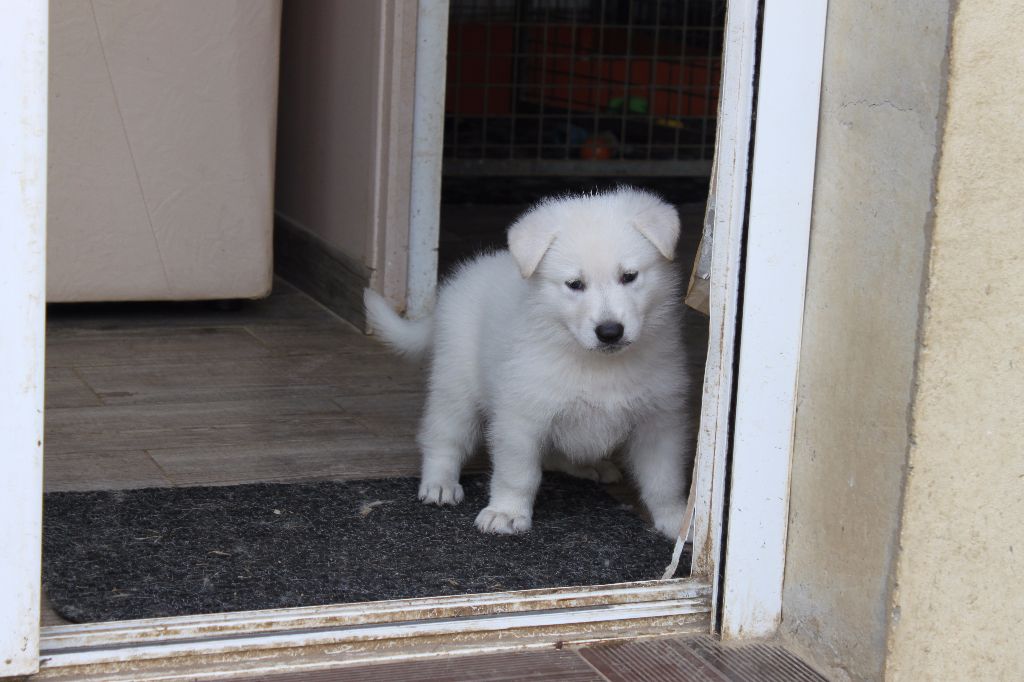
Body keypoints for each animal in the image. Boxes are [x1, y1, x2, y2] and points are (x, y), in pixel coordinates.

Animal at [364, 184, 692, 536]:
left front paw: (676, 519)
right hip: (455, 386)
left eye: (629, 276)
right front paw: (506, 512)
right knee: (443, 437)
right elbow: (518, 473)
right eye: (574, 285)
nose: (609, 331)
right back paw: (440, 483)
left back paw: (590, 466)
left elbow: (664, 479)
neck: (592, 362)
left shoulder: (659, 420)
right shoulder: (521, 418)